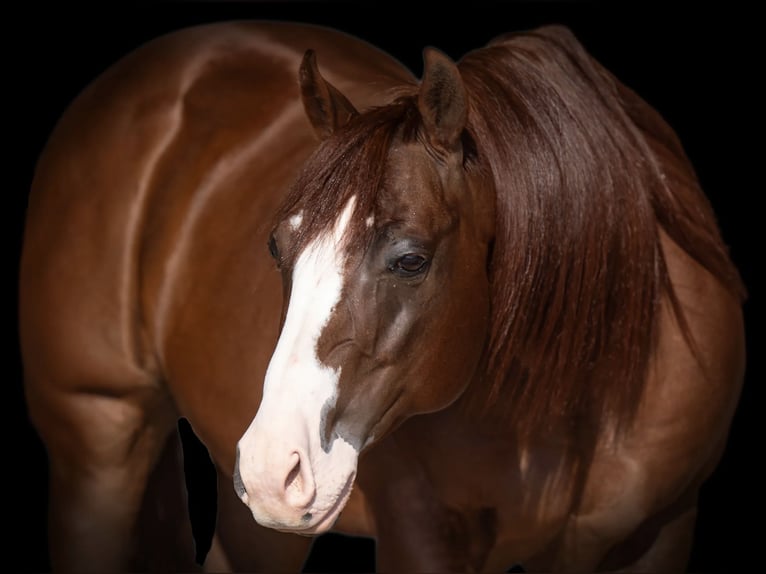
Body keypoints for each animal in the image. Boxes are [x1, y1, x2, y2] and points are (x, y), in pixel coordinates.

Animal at [21, 20, 748, 572]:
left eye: (410, 259)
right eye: (278, 249)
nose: (274, 468)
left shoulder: (658, 532)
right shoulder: (423, 536)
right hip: (100, 442)